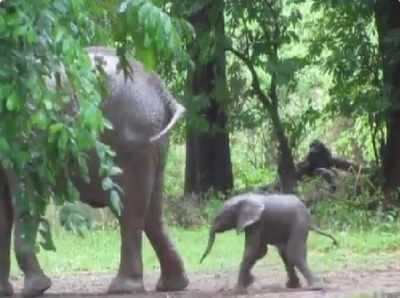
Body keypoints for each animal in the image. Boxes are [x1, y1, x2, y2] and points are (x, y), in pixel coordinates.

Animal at [0, 46, 189, 296]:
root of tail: (163, 93)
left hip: (129, 144)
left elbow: (25, 192)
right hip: (154, 142)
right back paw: (172, 285)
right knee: (152, 212)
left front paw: (36, 289)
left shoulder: (23, 134)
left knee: (130, 211)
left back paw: (123, 288)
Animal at [200, 193, 338, 294]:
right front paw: (250, 280)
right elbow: (260, 251)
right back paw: (292, 286)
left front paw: (237, 291)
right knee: (285, 254)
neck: (244, 199)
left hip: (299, 224)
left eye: (218, 218)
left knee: (293, 253)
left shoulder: (256, 223)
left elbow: (251, 251)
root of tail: (310, 218)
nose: (200, 262)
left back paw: (316, 287)